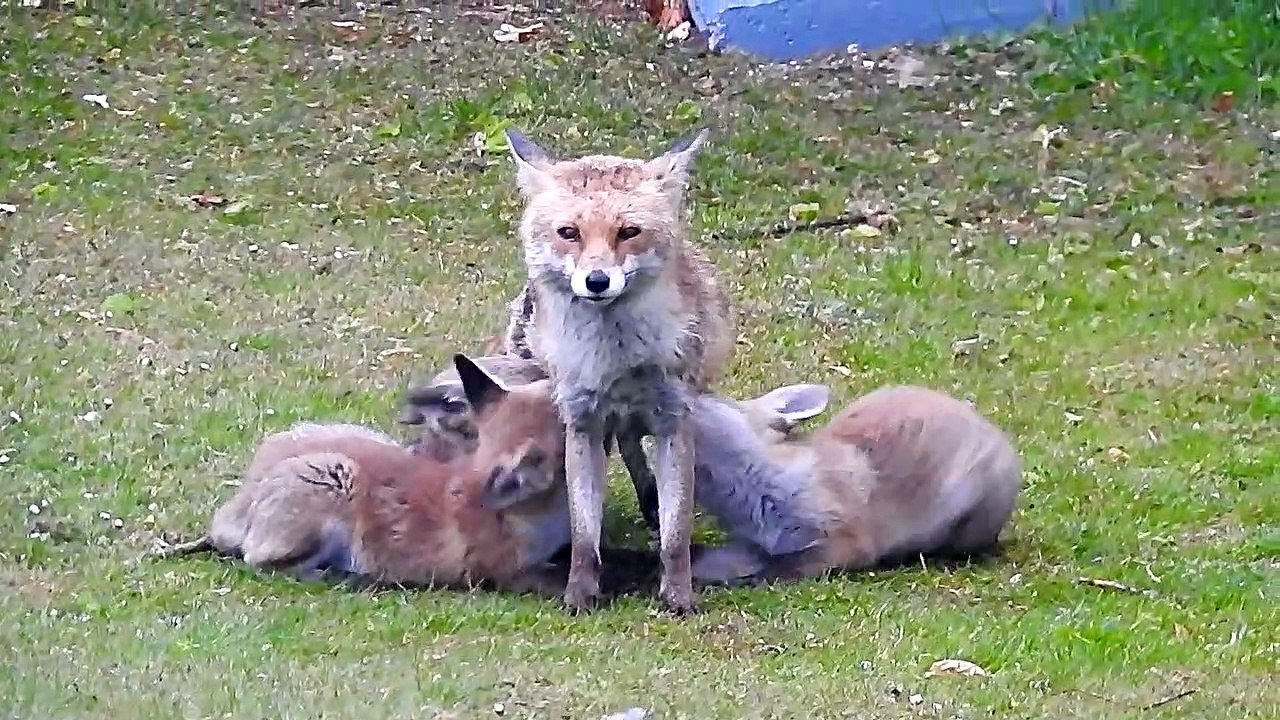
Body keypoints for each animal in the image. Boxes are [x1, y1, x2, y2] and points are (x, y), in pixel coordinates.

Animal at [500, 127, 734, 615]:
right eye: (569, 233)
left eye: (629, 232)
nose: (597, 282)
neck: (616, 362)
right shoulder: (582, 423)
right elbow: (583, 534)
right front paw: (579, 594)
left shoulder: (673, 419)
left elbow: (676, 536)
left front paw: (678, 596)